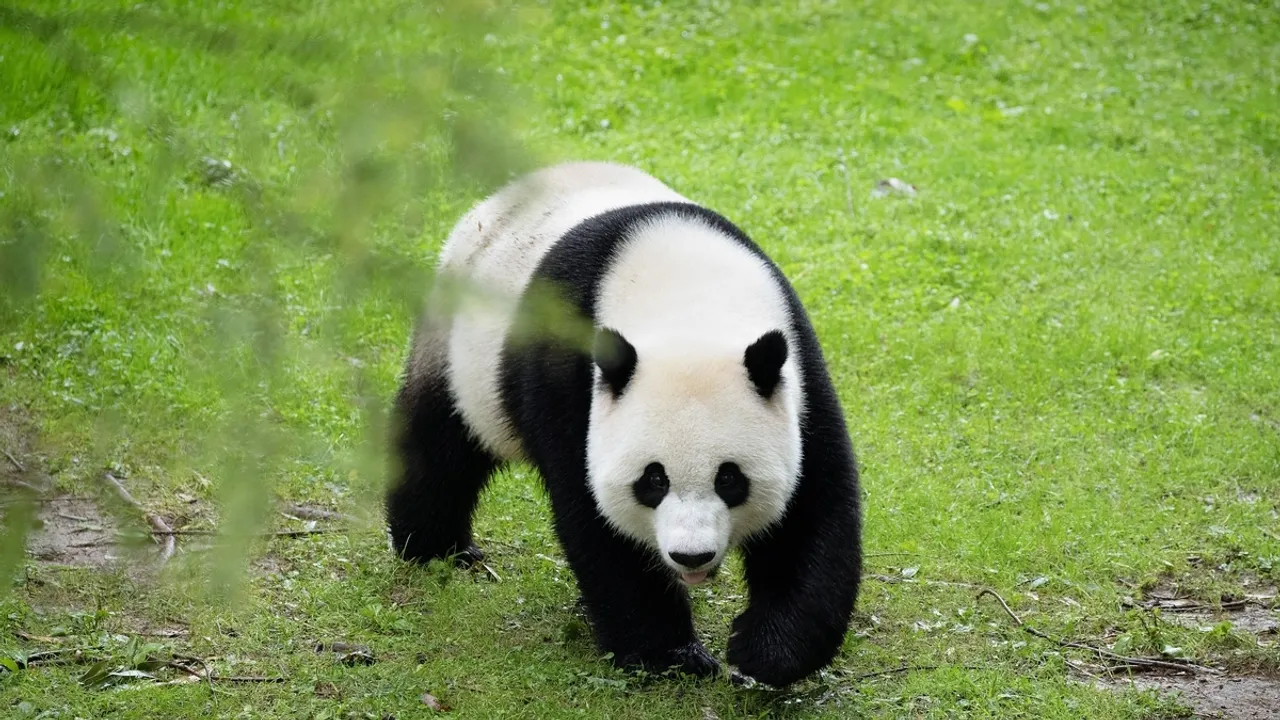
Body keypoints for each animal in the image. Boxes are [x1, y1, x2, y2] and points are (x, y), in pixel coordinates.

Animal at [386, 161, 862, 687]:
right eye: (653, 480)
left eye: (730, 479)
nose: (691, 557)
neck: (689, 303)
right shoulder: (568, 374)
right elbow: (594, 517)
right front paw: (671, 654)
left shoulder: (796, 371)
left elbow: (812, 508)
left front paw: (764, 650)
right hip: (459, 346)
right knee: (441, 442)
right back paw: (436, 547)